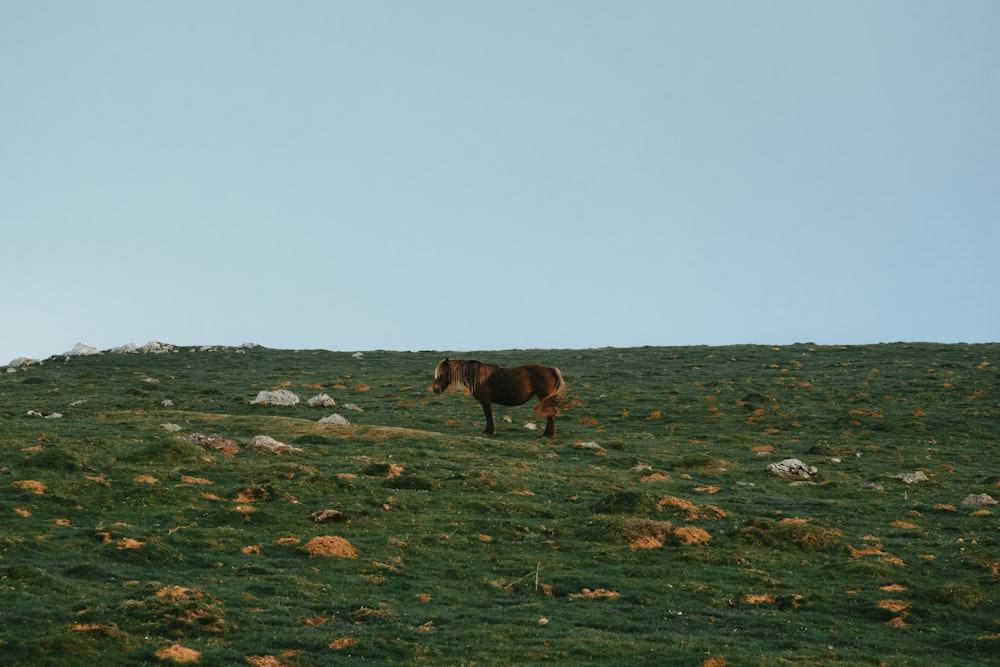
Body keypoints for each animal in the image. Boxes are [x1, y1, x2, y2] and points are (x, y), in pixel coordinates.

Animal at [434, 360, 568, 438]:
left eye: (442, 373)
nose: (435, 389)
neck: (477, 376)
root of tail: (549, 369)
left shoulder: (485, 401)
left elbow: (488, 415)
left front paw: (488, 432)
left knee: (550, 414)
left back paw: (548, 434)